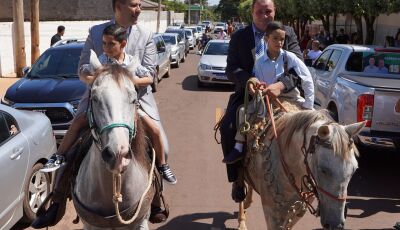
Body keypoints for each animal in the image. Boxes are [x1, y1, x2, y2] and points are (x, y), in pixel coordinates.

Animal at [238, 110, 366, 229]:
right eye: (323, 169)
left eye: (354, 170)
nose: (336, 224)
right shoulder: (272, 214)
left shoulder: (297, 211)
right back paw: (241, 221)